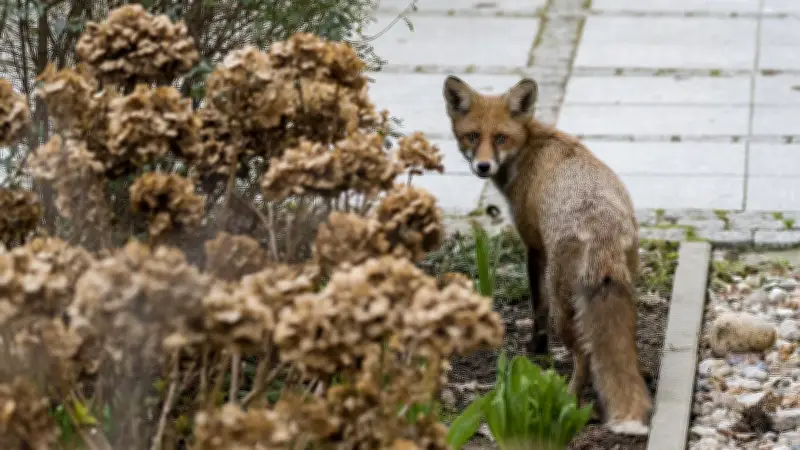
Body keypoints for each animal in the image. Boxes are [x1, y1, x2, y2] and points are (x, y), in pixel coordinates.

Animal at [442, 75, 652, 435]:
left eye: (500, 137)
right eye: (473, 136)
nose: (483, 166)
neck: (530, 146)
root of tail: (602, 231)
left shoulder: (533, 246)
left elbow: (535, 308)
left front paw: (536, 350)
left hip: (563, 307)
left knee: (584, 355)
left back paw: (570, 401)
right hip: (625, 288)